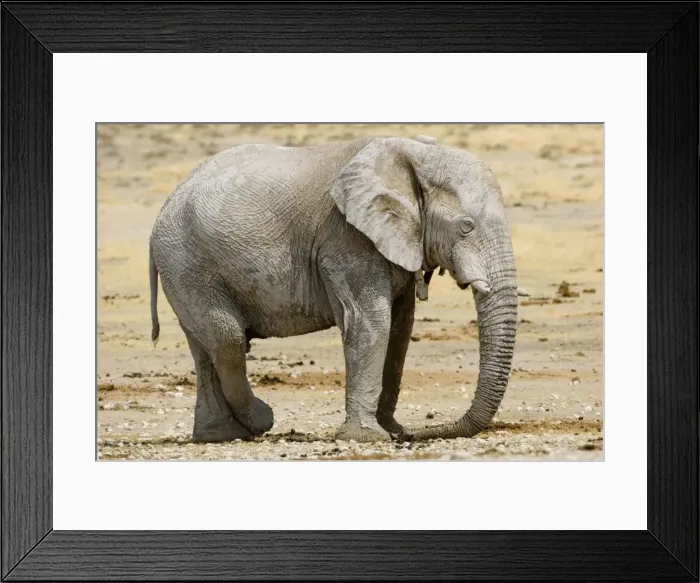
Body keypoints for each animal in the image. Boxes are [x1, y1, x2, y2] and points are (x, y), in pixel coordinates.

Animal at [149, 133, 519, 443]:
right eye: (466, 227)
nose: (413, 434)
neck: (412, 153)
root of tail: (161, 213)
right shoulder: (345, 238)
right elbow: (369, 321)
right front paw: (367, 438)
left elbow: (400, 328)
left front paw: (387, 430)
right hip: (188, 266)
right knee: (228, 339)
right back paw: (260, 421)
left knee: (205, 348)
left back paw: (221, 436)